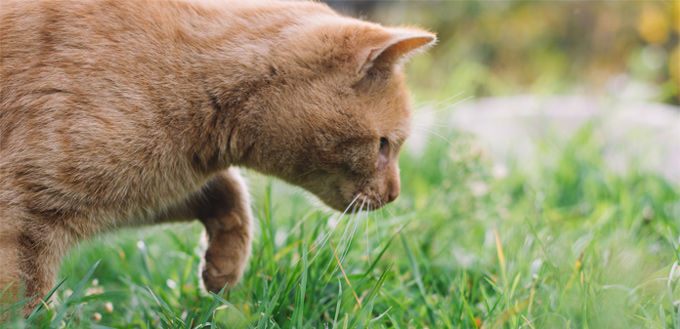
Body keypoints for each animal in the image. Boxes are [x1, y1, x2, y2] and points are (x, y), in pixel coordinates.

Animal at [0, 0, 436, 316]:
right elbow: (28, 304)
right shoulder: (24, 217)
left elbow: (230, 193)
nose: (395, 193)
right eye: (384, 145)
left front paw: (223, 269)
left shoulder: (149, 188)